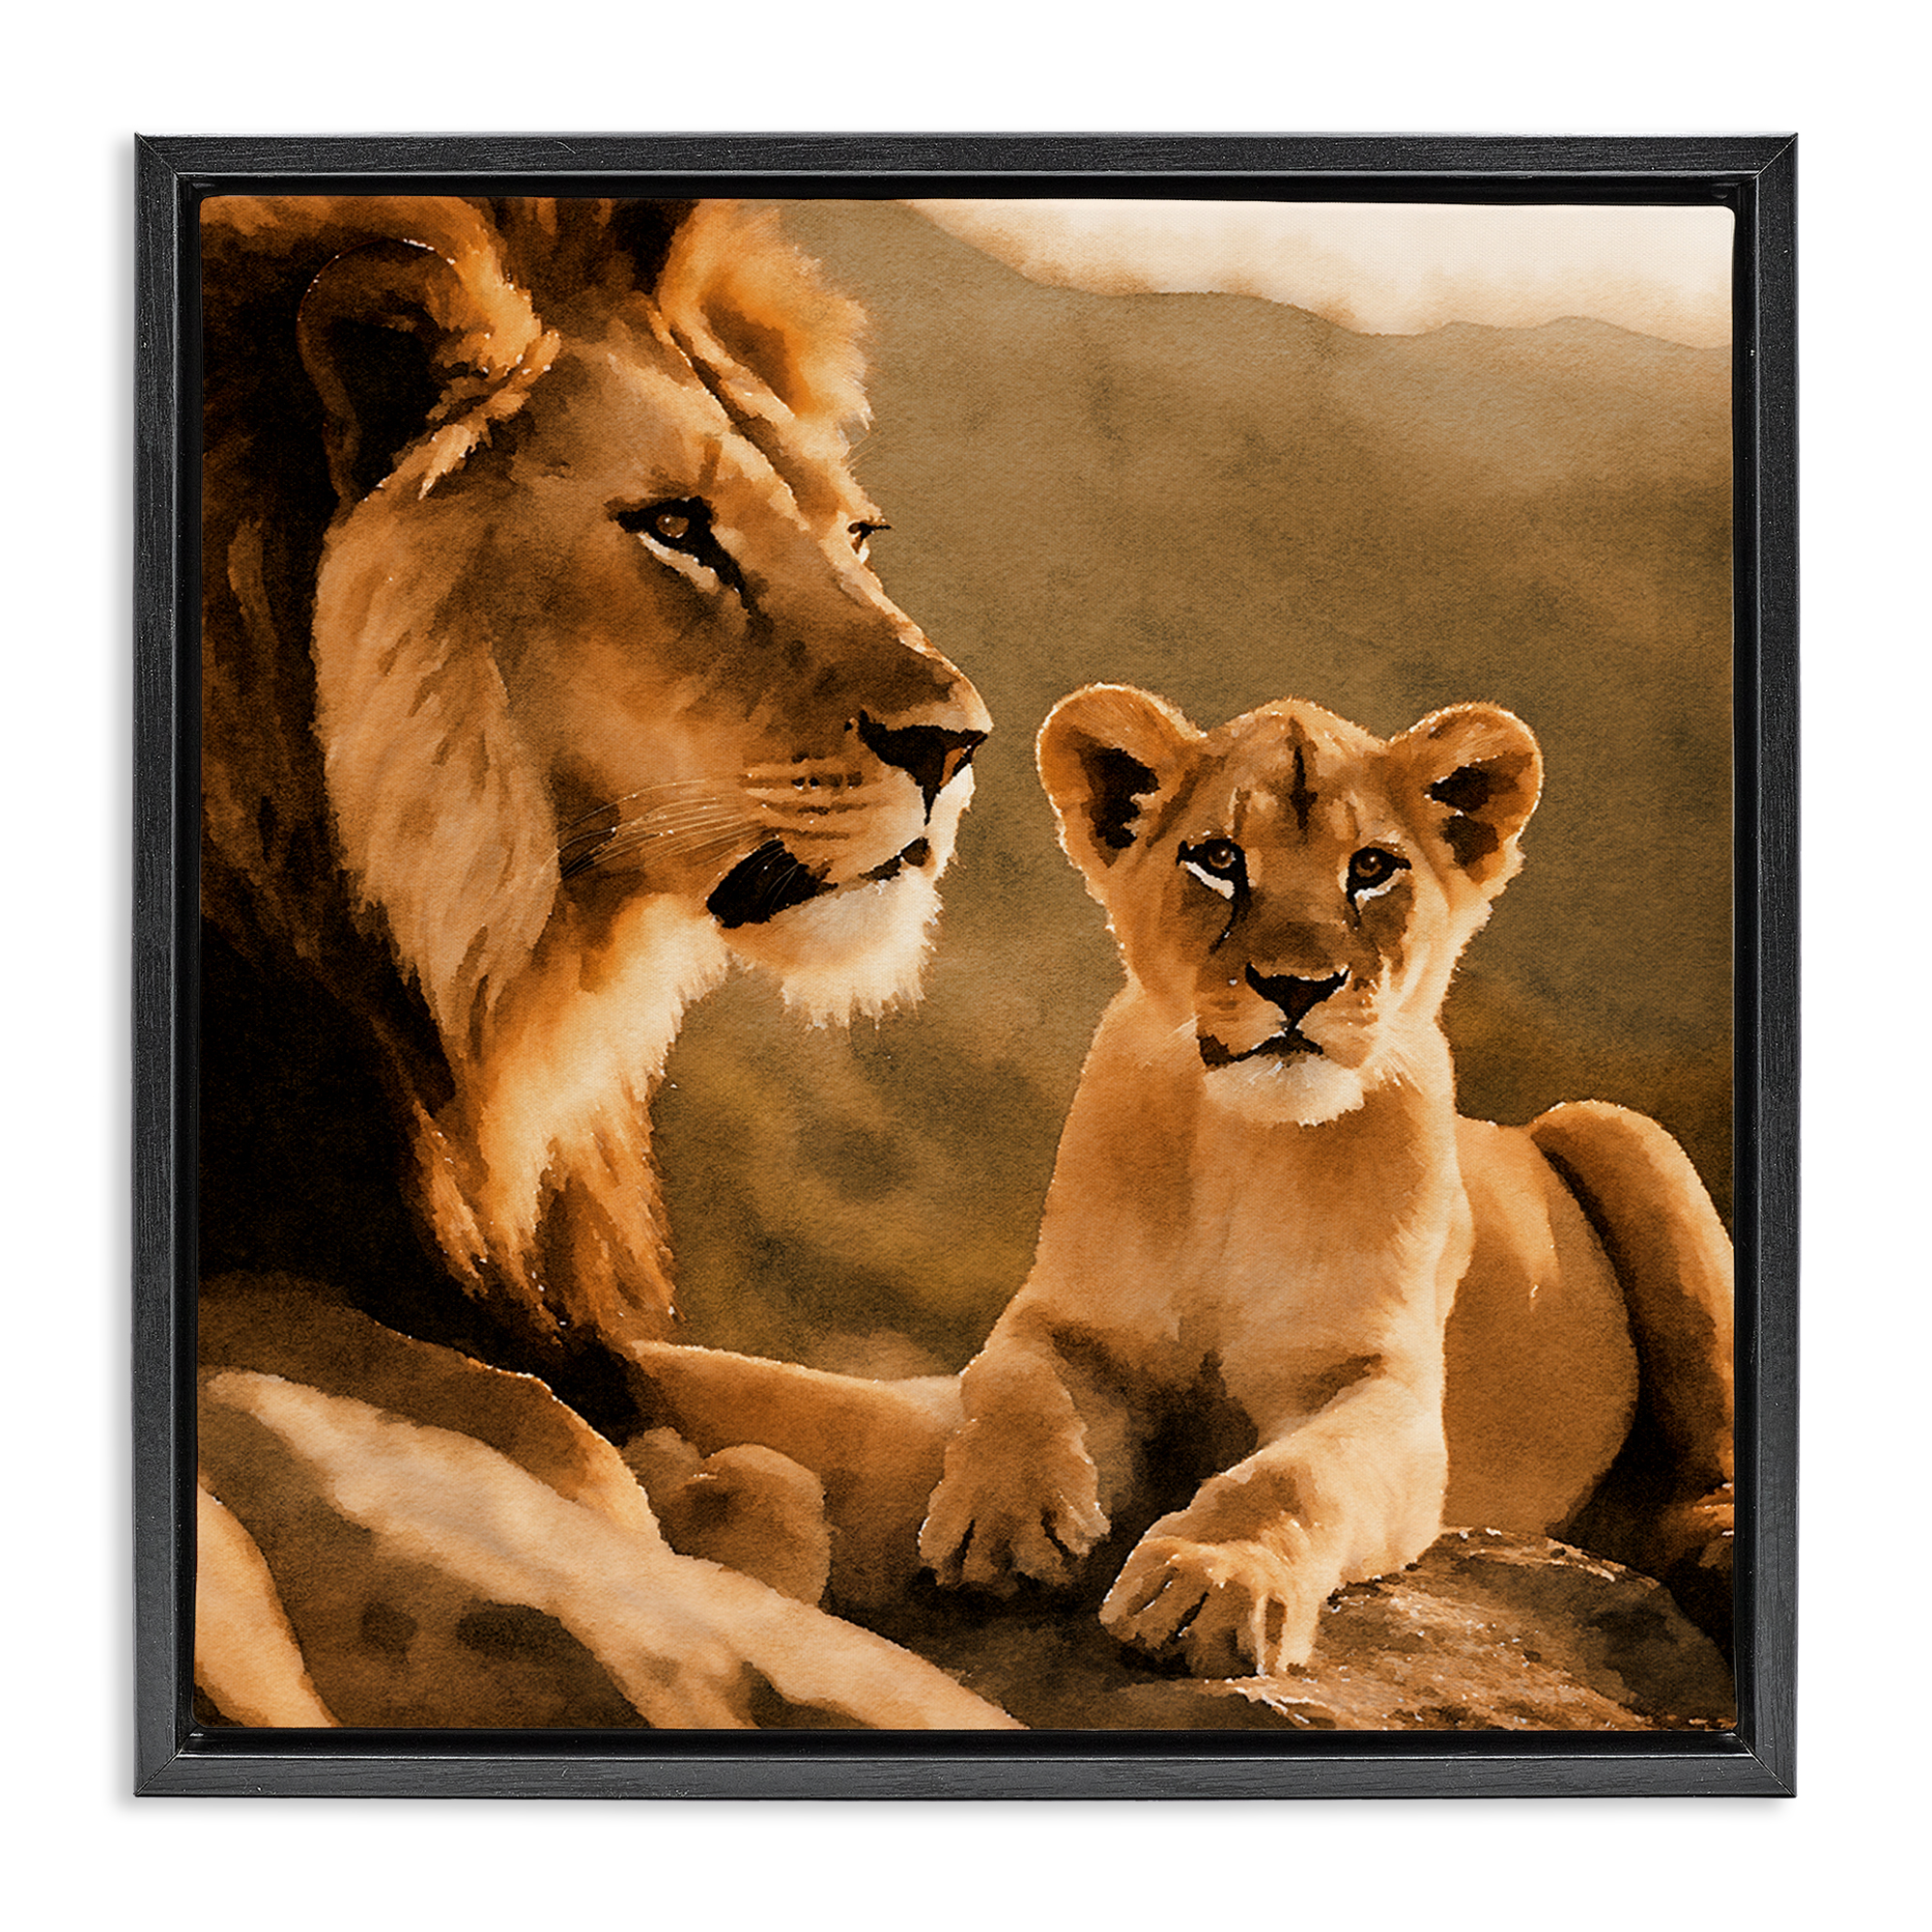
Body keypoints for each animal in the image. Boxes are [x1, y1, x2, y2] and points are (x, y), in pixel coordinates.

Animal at [196, 195, 1007, 1727]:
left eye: (857, 534)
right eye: (677, 528)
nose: (956, 745)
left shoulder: (527, 1301)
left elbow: (863, 1415)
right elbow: (560, 1445)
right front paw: (709, 1526)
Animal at [914, 685, 1735, 1678]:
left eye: (1372, 868)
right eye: (1220, 859)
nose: (1298, 985)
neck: (1248, 1148)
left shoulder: (1387, 1390)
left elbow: (1293, 1475)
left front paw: (1210, 1582)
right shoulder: (1069, 1319)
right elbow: (1012, 1384)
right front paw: (1002, 1523)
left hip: (1618, 1128)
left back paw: (1716, 1544)